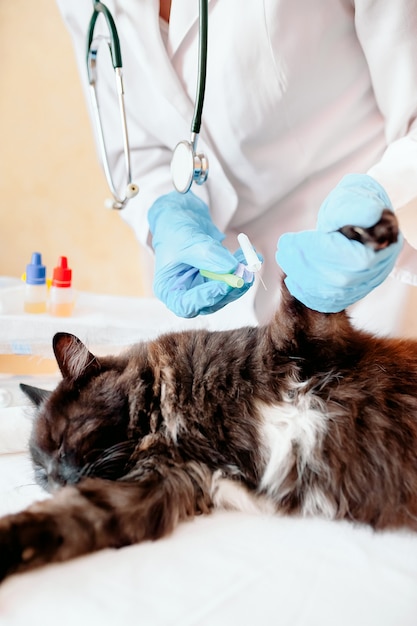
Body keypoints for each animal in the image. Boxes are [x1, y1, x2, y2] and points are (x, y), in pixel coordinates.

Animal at [0, 210, 416, 580]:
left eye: (63, 438)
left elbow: (304, 297)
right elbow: (56, 522)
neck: (168, 422)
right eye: (40, 472)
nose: (56, 479)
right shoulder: (152, 487)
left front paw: (361, 235)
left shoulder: (306, 346)